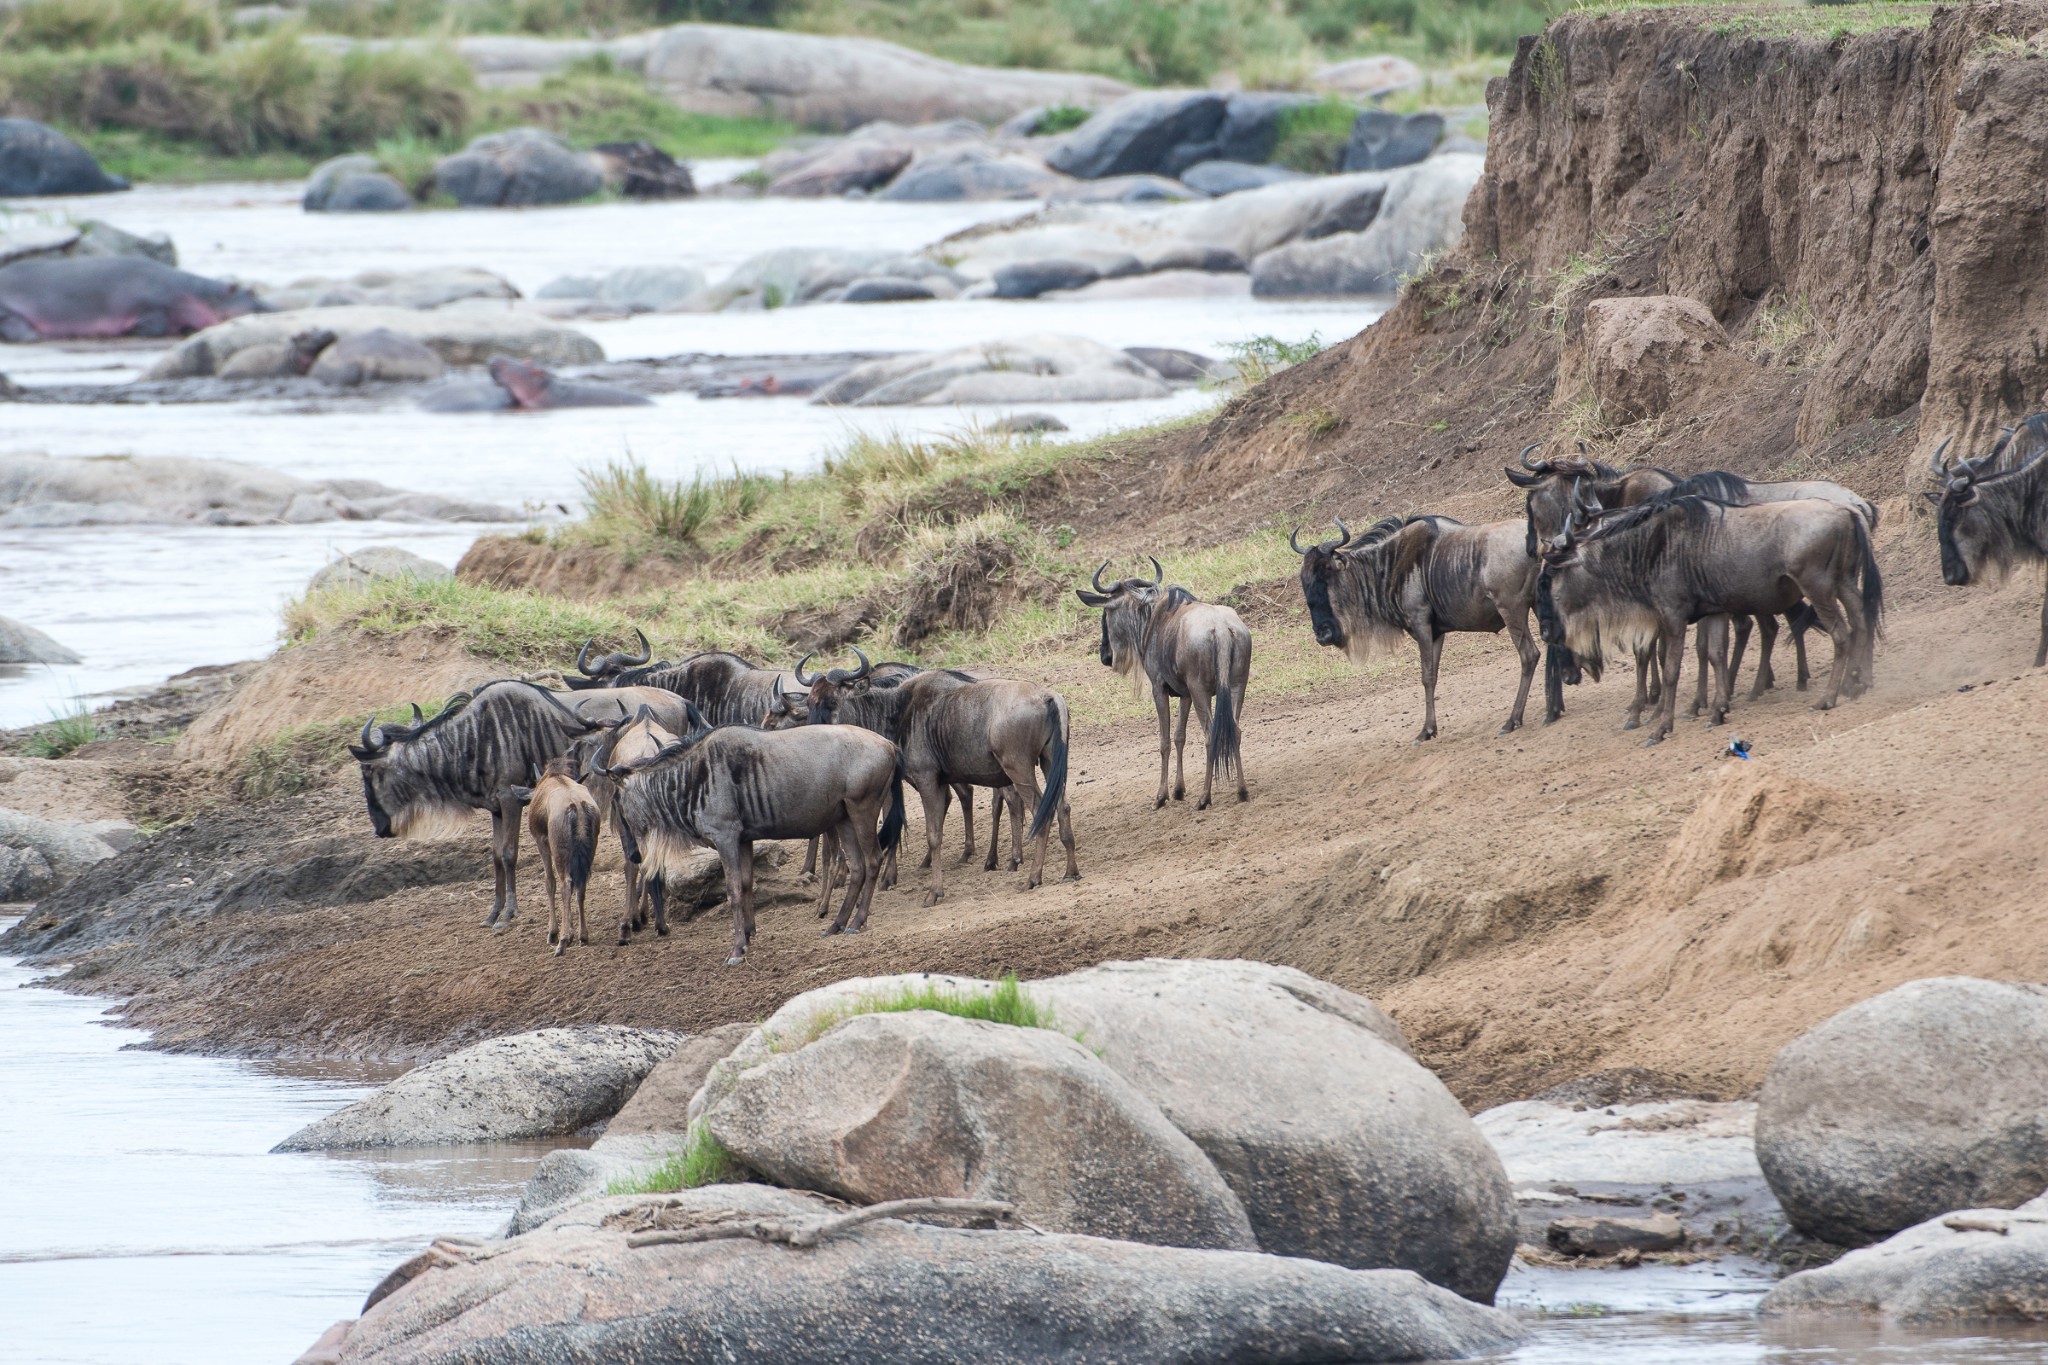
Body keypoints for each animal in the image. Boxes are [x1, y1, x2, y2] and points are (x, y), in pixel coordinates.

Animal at [0, 255, 268, 341]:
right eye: (251, 292)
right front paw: (131, 331)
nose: (274, 306)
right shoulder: (150, 307)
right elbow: (156, 325)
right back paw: (33, 336)